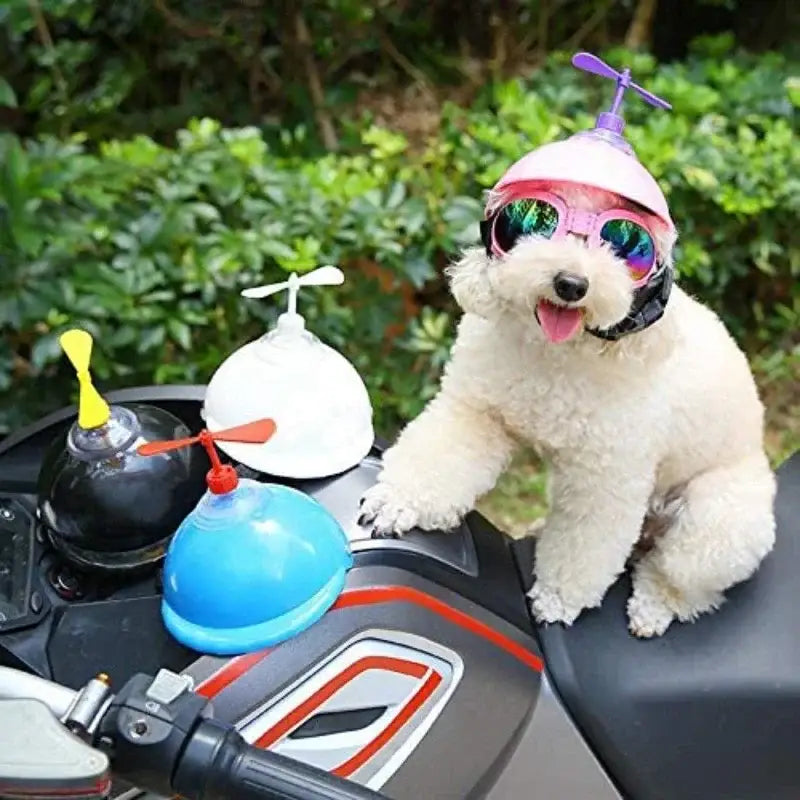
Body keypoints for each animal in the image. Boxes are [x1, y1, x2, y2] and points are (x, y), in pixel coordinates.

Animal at [360, 181, 776, 636]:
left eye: (624, 243)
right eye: (537, 220)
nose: (571, 284)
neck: (557, 351)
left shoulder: (606, 479)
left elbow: (584, 545)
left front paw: (558, 598)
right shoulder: (478, 411)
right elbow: (441, 458)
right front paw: (400, 500)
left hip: (717, 524)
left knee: (687, 581)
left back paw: (654, 606)